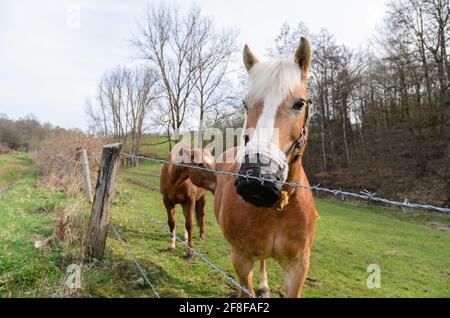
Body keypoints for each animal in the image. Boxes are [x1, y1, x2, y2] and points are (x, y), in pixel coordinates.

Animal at [214, 38, 316, 298]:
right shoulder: (240, 258)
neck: (278, 210)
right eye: (245, 104)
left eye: (299, 103)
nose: (257, 178)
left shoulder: (298, 266)